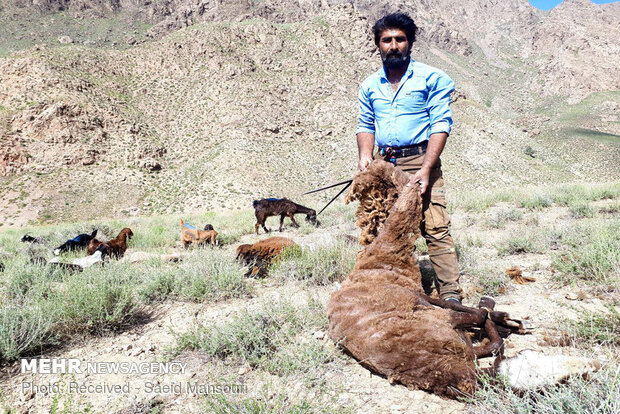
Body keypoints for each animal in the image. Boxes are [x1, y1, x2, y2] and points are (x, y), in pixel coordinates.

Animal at [324, 161, 524, 398]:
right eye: (397, 174)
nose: (418, 181)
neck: (384, 258)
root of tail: (449, 374)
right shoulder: (419, 298)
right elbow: (469, 311)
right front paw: (502, 317)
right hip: (445, 326)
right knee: (484, 328)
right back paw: (502, 319)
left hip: (461, 347)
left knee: (485, 347)